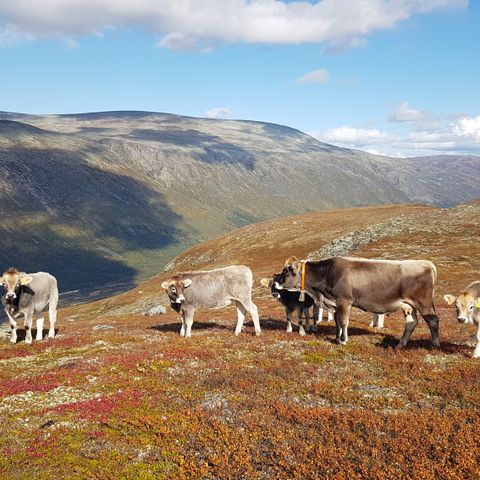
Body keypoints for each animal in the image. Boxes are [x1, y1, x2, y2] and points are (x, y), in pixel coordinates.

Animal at [270, 256, 438, 346]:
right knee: (411, 323)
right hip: (408, 305)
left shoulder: (345, 301)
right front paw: (337, 338)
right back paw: (400, 344)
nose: (276, 284)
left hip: (424, 303)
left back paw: (435, 344)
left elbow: (344, 322)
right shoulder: (335, 304)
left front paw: (344, 340)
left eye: (286, 272)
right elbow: (337, 322)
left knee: (433, 320)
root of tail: (426, 263)